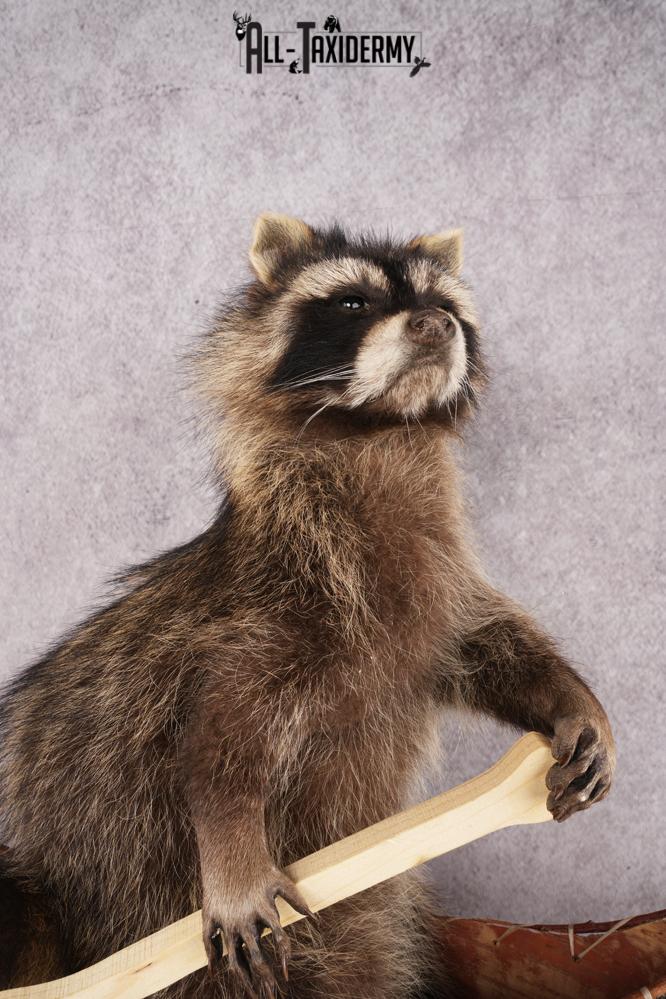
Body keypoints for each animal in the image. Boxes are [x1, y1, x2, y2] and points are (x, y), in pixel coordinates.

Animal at [0, 215, 615, 998]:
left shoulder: (435, 588)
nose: (435, 324)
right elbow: (216, 742)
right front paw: (231, 849)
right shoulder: (262, 606)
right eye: (353, 302)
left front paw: (568, 698)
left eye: (444, 301)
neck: (372, 434)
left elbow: (489, 642)